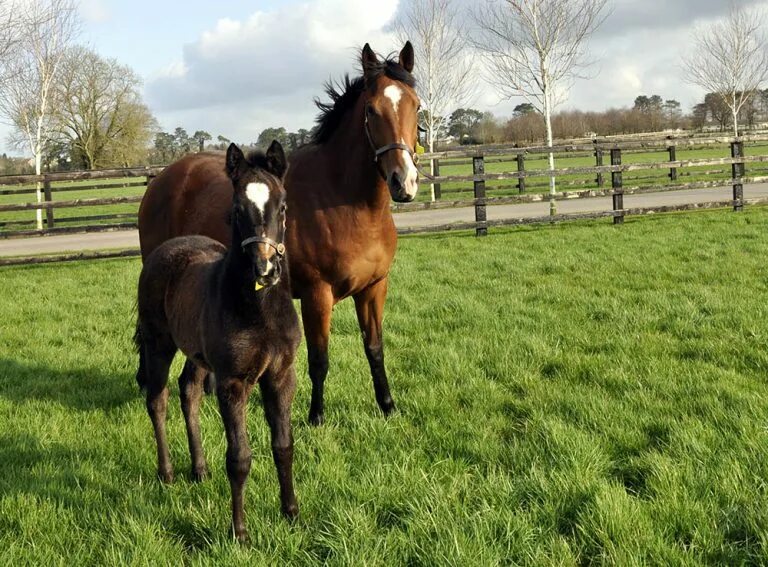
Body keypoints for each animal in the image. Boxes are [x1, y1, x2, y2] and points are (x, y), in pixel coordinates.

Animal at [141, 43, 424, 426]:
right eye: (371, 109)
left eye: (416, 105)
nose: (403, 181)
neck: (344, 201)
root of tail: (162, 179)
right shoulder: (317, 295)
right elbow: (319, 359)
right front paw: (316, 416)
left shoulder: (374, 288)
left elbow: (374, 349)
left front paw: (387, 406)